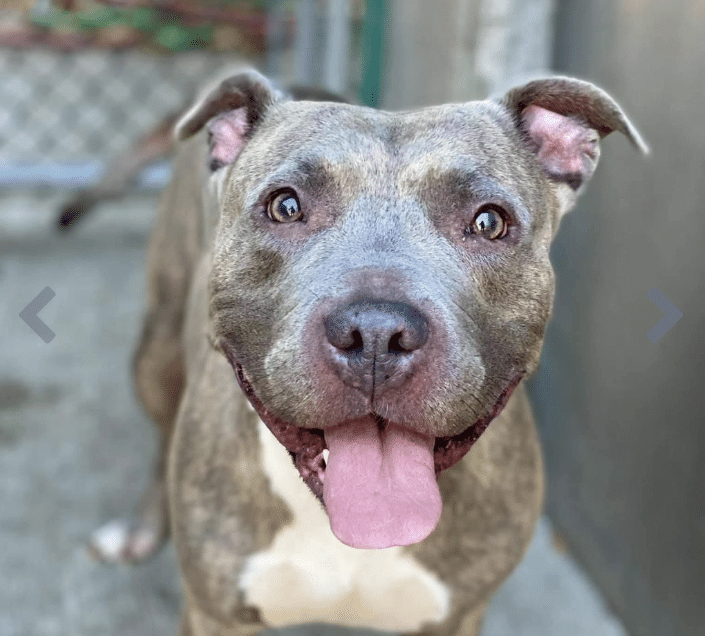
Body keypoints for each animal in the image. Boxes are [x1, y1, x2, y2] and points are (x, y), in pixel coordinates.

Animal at [86, 70, 648, 636]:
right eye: (285, 206)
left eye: (490, 222)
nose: (377, 334)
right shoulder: (215, 616)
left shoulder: (459, 617)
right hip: (156, 350)